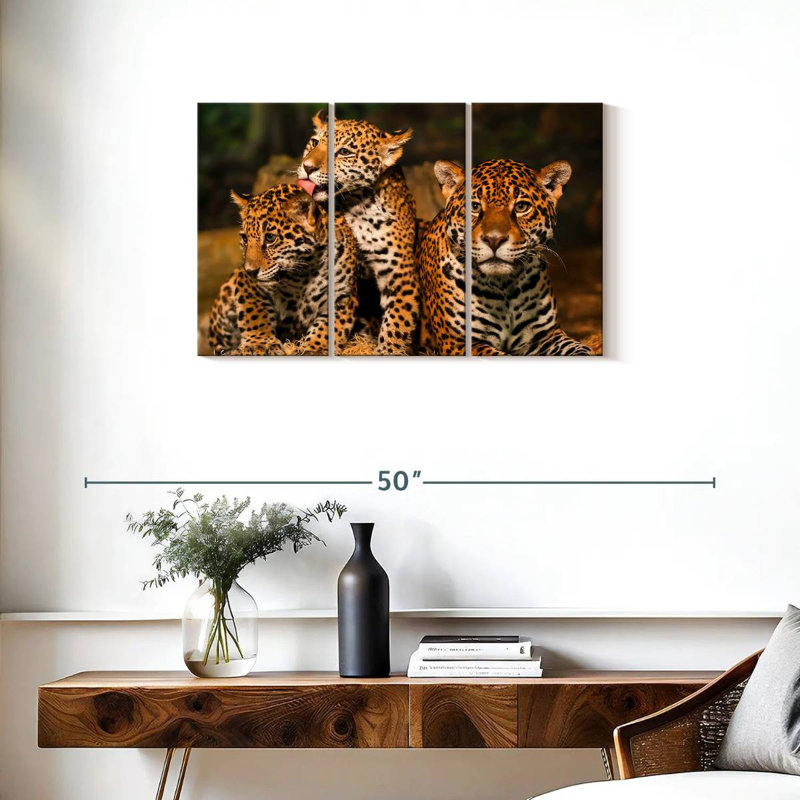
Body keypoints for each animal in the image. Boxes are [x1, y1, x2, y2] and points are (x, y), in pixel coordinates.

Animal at [209, 183, 357, 356]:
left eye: (270, 238)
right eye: (245, 238)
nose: (250, 271)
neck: (304, 272)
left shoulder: (342, 296)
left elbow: (328, 327)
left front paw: (316, 348)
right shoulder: (247, 284)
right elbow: (255, 312)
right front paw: (259, 344)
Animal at [297, 110, 420, 355]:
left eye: (344, 152)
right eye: (314, 143)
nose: (307, 167)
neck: (355, 206)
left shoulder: (401, 278)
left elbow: (396, 325)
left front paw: (387, 351)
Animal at [419, 159, 593, 356]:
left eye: (521, 207)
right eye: (474, 207)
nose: (494, 239)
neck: (504, 287)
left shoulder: (546, 334)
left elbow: (580, 349)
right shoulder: (457, 343)